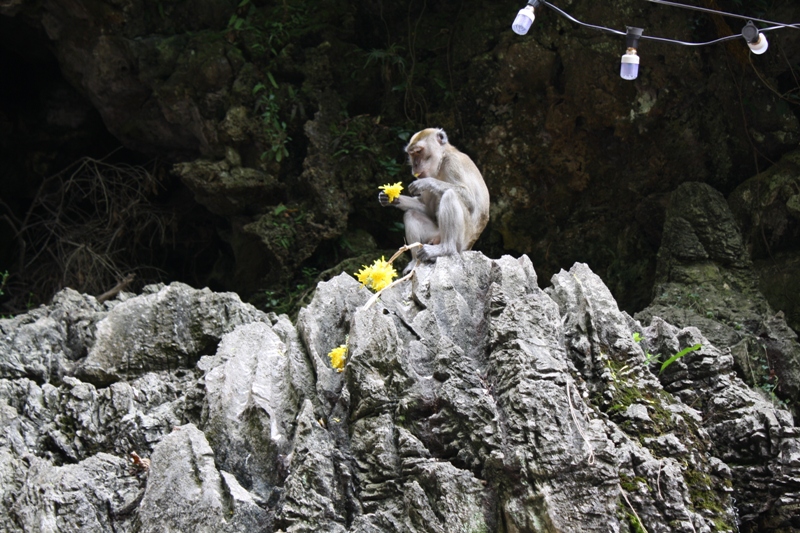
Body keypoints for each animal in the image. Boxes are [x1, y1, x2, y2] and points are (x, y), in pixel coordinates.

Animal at [380, 127, 490, 264]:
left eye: (418, 152)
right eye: (411, 154)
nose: (415, 165)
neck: (442, 160)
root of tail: (469, 246)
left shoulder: (452, 163)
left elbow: (470, 200)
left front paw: (426, 182)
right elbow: (427, 208)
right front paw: (392, 199)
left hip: (462, 240)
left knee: (450, 195)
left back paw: (446, 249)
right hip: (435, 235)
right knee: (411, 213)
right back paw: (414, 262)